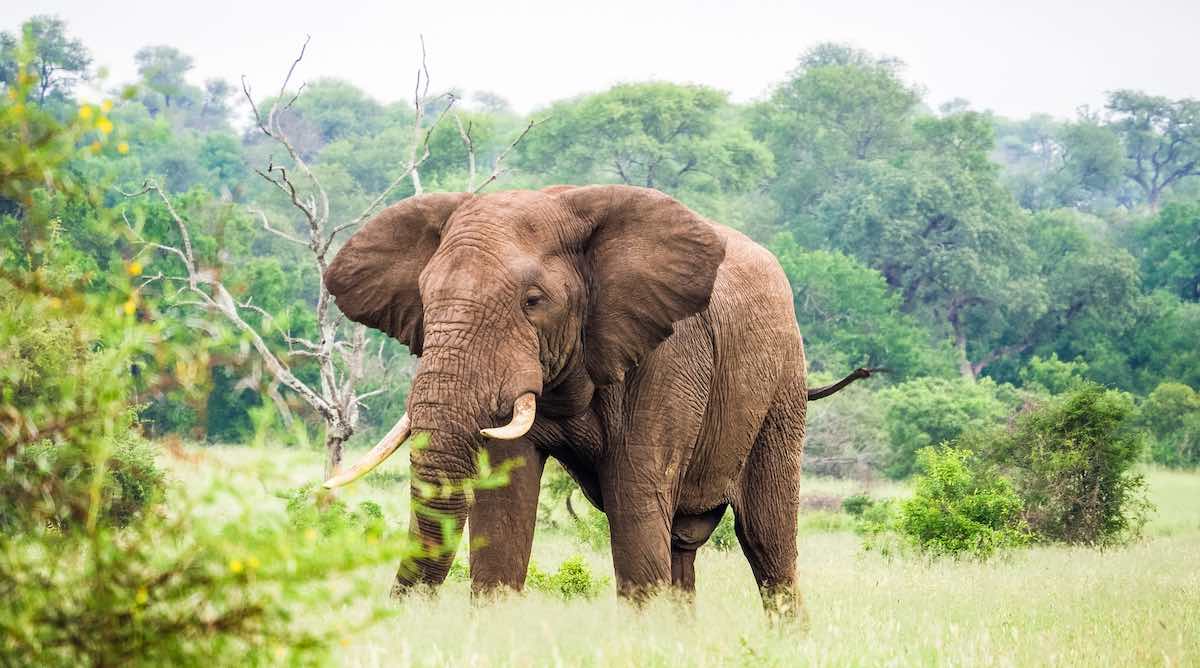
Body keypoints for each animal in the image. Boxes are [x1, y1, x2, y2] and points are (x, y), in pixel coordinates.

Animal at [324, 184, 878, 611]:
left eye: (533, 302)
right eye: (425, 300)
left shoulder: (667, 354)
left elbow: (634, 497)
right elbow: (505, 505)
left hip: (781, 385)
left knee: (767, 540)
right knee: (681, 543)